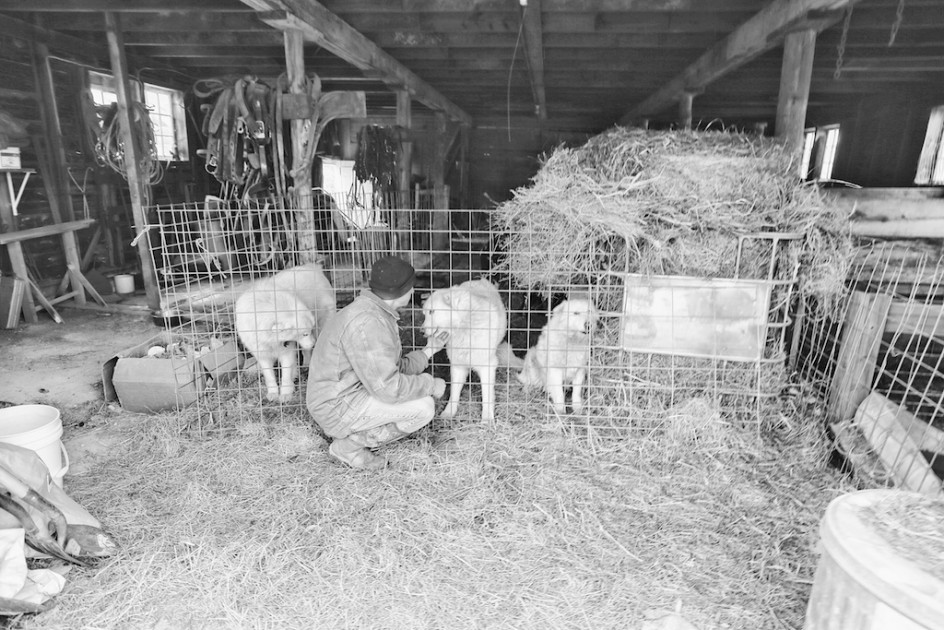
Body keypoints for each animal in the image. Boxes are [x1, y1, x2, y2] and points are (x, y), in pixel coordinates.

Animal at [234, 262, 338, 402]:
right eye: (305, 333)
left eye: (308, 331)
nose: (313, 343)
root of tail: (313, 267)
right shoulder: (262, 354)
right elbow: (269, 376)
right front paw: (273, 393)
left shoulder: (287, 352)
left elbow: (286, 374)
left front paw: (286, 393)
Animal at [422, 278, 520, 422]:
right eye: (425, 313)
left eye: (432, 311)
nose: (421, 330)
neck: (463, 326)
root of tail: (479, 279)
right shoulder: (458, 367)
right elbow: (454, 393)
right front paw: (449, 412)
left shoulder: (487, 366)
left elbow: (487, 395)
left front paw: (487, 418)